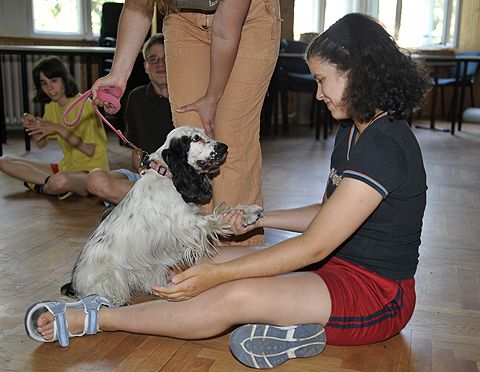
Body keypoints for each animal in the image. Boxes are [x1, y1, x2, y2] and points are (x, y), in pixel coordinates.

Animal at [61, 126, 262, 306]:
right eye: (195, 138)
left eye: (206, 133)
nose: (224, 147)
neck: (167, 175)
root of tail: (75, 284)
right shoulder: (189, 224)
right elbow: (219, 216)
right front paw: (248, 216)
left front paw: (247, 211)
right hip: (112, 276)